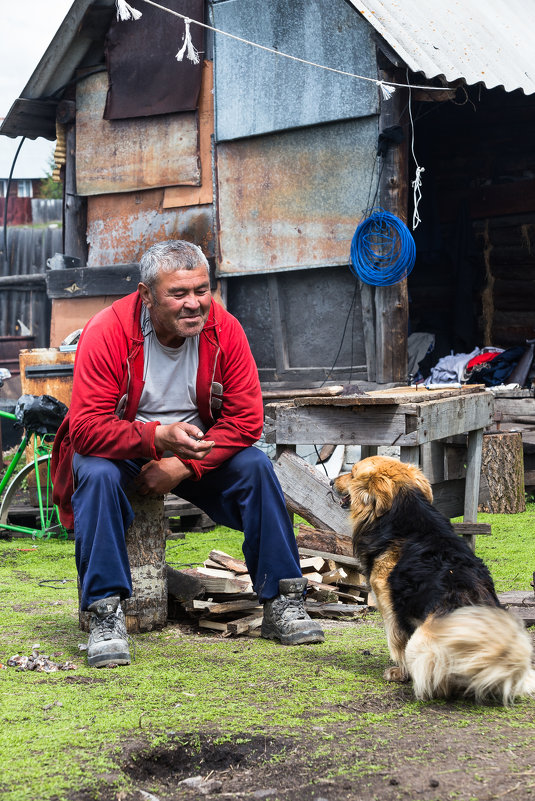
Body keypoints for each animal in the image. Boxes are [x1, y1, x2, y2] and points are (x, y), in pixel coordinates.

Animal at [332, 454, 532, 704]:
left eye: (352, 473)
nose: (330, 481)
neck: (404, 513)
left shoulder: (389, 604)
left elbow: (397, 640)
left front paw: (399, 673)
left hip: (422, 640)